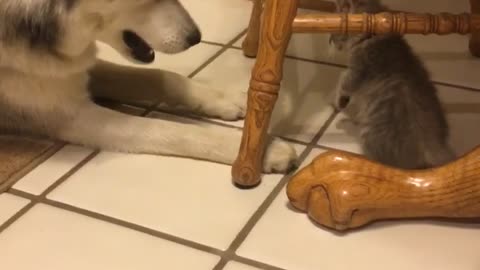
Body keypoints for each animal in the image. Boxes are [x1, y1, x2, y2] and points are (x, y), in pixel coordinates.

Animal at [332, 0, 456, 169]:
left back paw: (349, 127)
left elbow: (343, 81)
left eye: (335, 31)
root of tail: (435, 144)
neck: (372, 36)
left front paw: (338, 100)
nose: (329, 41)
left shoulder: (358, 71)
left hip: (371, 133)